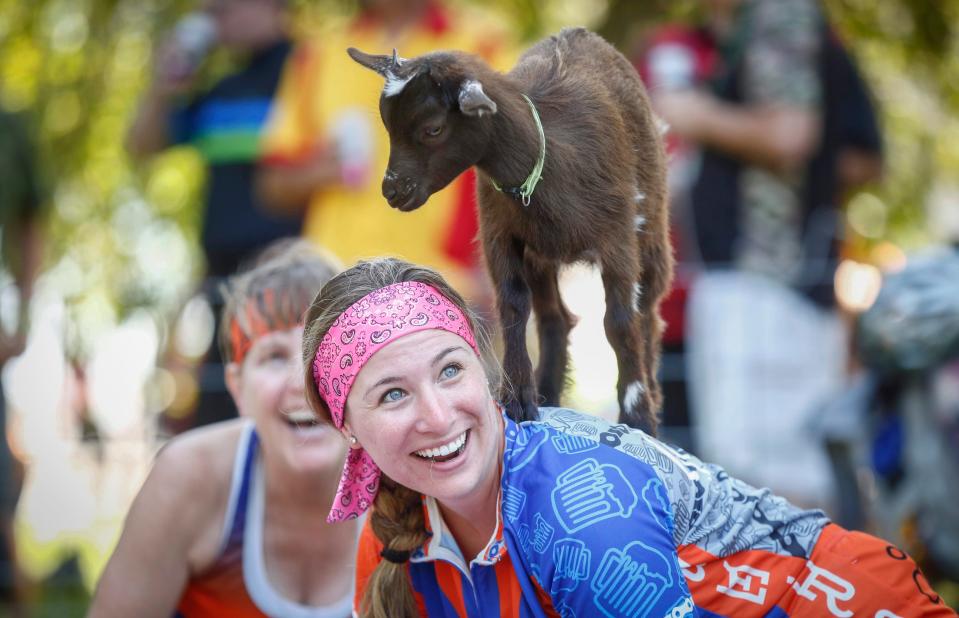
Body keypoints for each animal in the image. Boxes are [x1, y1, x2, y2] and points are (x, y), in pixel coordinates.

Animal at [348, 27, 672, 434]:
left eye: (433, 128)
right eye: (388, 126)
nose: (393, 192)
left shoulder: (617, 239)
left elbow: (619, 322)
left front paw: (637, 415)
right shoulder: (499, 234)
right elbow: (513, 306)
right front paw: (518, 398)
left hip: (652, 230)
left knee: (647, 313)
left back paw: (651, 391)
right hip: (540, 254)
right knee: (554, 318)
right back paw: (548, 391)